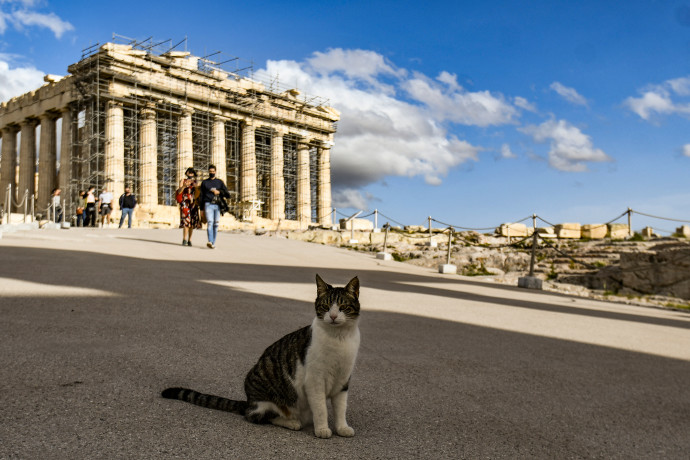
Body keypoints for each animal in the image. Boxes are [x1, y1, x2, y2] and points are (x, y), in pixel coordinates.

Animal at [161, 274, 360, 438]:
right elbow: (320, 408)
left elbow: (341, 408)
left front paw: (342, 428)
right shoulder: (315, 380)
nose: (332, 316)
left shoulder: (343, 380)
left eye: (342, 307)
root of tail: (249, 402)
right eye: (325, 306)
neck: (338, 339)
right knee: (259, 417)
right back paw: (292, 422)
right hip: (266, 401)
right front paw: (322, 429)